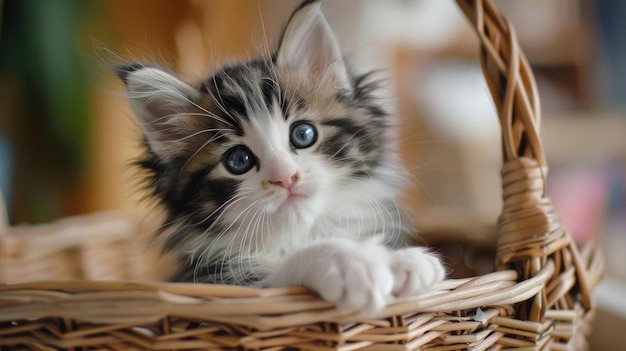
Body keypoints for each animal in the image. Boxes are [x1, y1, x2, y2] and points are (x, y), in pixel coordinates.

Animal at [114, 0, 442, 314]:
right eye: (238, 160)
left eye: (303, 134)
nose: (286, 177)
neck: (298, 233)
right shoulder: (218, 284)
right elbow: (283, 271)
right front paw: (351, 262)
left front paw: (402, 260)